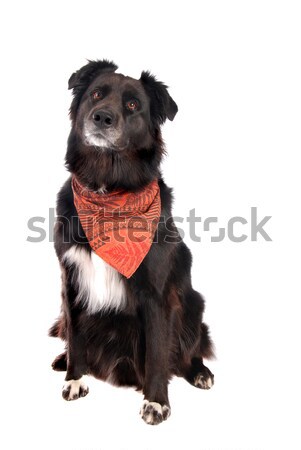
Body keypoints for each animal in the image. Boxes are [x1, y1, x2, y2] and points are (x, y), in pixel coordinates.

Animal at [49, 60, 213, 426]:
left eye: (133, 104)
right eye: (96, 94)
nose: (101, 117)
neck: (107, 191)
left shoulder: (156, 293)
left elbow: (157, 353)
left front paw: (156, 402)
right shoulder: (71, 280)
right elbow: (76, 337)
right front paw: (74, 378)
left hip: (193, 303)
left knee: (193, 347)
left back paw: (200, 373)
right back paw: (61, 360)